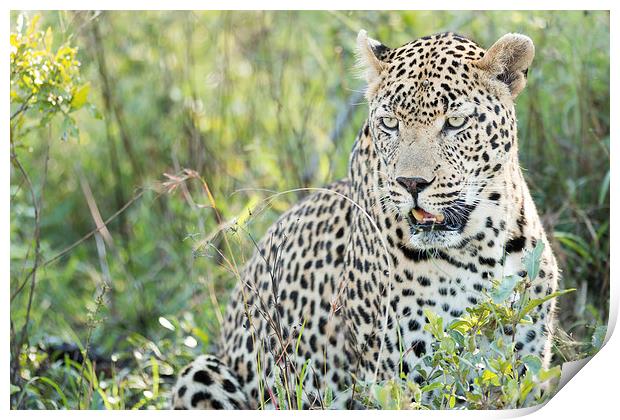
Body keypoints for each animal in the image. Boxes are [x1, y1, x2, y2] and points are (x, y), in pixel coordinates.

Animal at [171, 30, 560, 410]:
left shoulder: (527, 365)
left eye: (455, 122)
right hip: (200, 370)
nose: (411, 183)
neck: (481, 246)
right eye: (390, 123)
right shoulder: (402, 379)